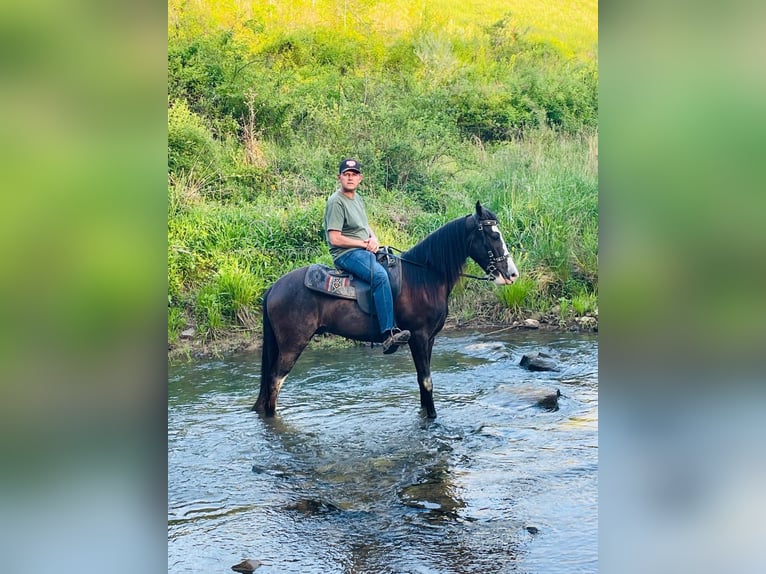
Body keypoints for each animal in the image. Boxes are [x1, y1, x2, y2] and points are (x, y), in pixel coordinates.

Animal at [255, 201, 520, 418]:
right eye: (492, 236)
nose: (512, 274)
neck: (424, 277)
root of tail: (274, 287)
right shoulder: (419, 337)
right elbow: (427, 382)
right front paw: (433, 418)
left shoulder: (429, 339)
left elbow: (421, 381)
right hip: (292, 345)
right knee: (274, 384)